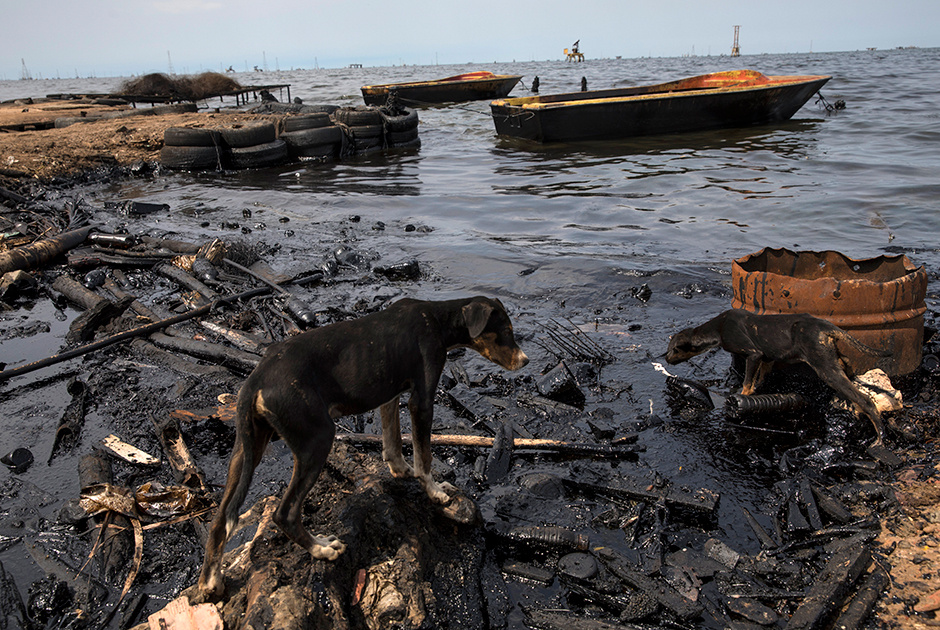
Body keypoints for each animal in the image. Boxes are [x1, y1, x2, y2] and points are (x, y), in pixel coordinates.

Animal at [198, 298, 528, 600]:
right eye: (506, 331)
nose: (525, 361)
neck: (437, 318)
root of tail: (256, 379)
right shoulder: (421, 400)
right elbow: (424, 456)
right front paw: (435, 492)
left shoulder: (390, 393)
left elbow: (392, 440)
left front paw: (400, 470)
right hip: (316, 439)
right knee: (285, 513)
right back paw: (322, 549)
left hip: (246, 448)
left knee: (220, 518)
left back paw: (210, 582)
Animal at [664, 312, 892, 450]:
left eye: (673, 350)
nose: (665, 359)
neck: (718, 329)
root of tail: (824, 325)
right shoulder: (767, 359)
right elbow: (757, 381)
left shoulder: (753, 354)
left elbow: (747, 382)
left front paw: (741, 401)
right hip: (833, 357)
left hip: (825, 367)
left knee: (866, 400)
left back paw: (880, 437)